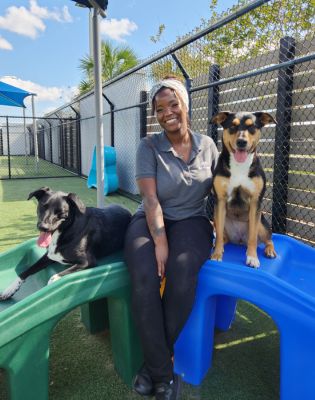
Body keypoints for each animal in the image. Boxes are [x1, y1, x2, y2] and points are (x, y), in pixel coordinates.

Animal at [0, 188, 132, 300]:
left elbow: (54, 277)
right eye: (43, 206)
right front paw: (9, 289)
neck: (67, 230)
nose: (43, 227)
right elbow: (26, 271)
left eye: (61, 212)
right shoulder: (49, 255)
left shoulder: (87, 261)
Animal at [212, 111, 276, 268]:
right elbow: (219, 236)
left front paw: (252, 257)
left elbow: (253, 235)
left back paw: (270, 250)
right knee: (222, 236)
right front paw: (217, 254)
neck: (239, 165)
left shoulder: (255, 202)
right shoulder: (220, 201)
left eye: (252, 127)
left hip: (262, 223)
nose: (241, 142)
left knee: (268, 238)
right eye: (232, 126)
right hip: (217, 218)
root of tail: (239, 240)